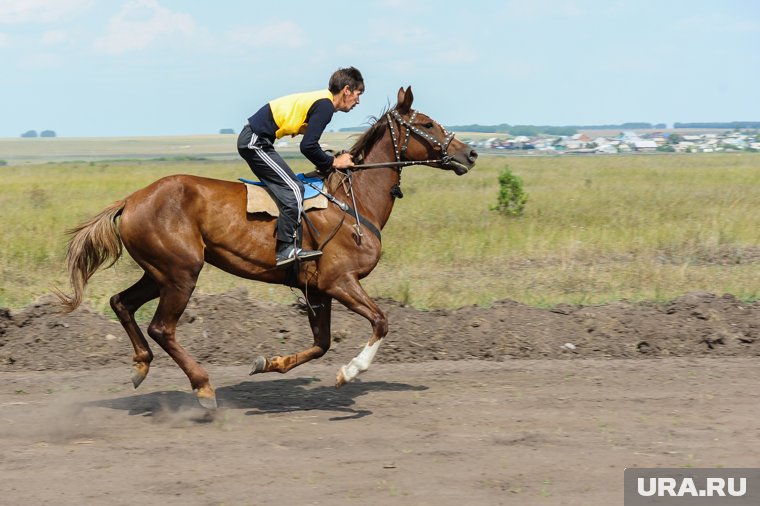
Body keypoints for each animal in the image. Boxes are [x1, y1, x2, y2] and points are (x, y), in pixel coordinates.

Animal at [58, 87, 476, 410]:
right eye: (427, 124)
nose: (469, 154)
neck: (352, 201)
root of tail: (130, 201)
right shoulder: (340, 281)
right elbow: (380, 321)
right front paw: (349, 372)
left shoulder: (318, 291)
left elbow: (321, 344)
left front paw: (268, 363)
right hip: (181, 273)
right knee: (162, 328)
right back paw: (203, 388)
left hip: (159, 272)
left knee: (121, 303)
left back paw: (141, 365)